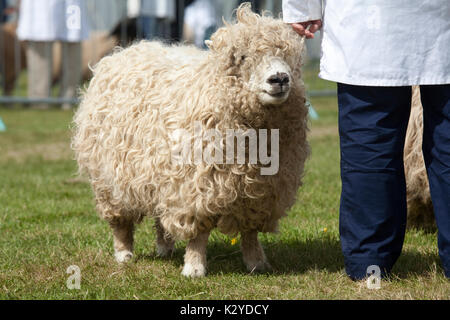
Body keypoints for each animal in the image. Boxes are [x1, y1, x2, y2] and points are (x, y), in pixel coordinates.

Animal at [73, 3, 310, 278]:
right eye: (241, 57)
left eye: (288, 56)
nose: (279, 79)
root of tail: (128, 49)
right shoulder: (196, 186)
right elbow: (199, 233)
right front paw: (194, 268)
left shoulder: (262, 191)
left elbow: (250, 232)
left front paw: (256, 263)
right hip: (109, 180)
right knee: (120, 220)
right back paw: (124, 253)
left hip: (159, 175)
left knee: (160, 213)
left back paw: (164, 248)